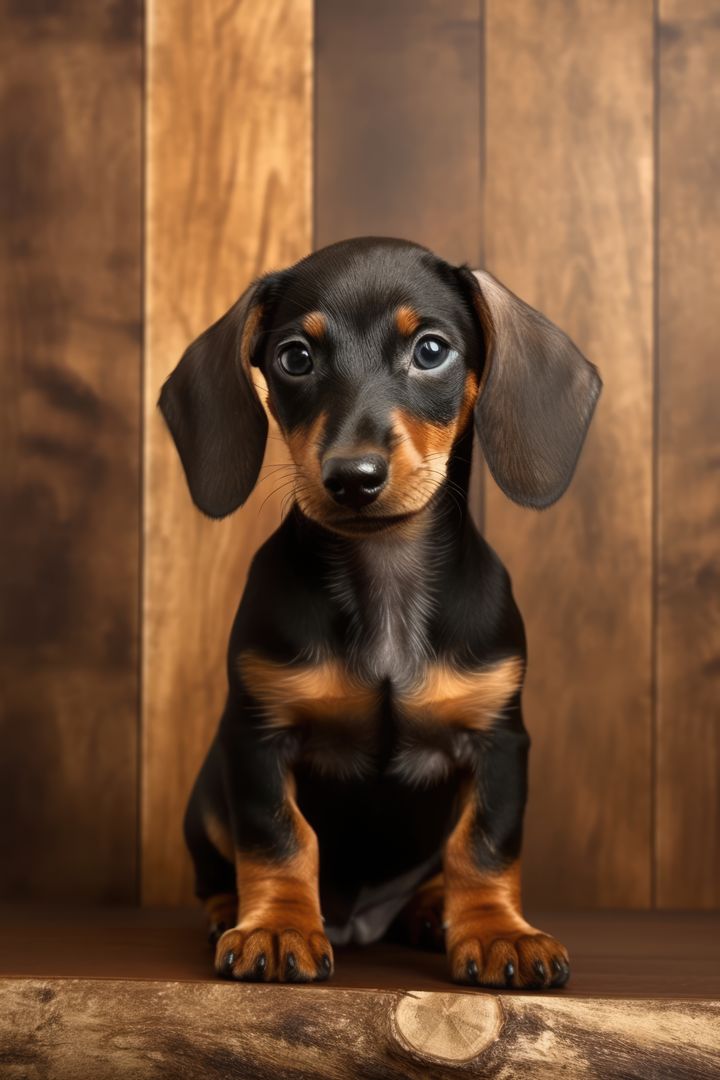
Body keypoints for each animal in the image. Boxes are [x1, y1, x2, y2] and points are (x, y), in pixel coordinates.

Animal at [158, 236, 604, 989]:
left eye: (431, 350)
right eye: (294, 358)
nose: (353, 478)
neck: (385, 577)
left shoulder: (500, 740)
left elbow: (483, 844)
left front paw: (497, 933)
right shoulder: (256, 737)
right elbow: (279, 837)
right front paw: (278, 926)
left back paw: (429, 911)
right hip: (207, 798)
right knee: (216, 866)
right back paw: (228, 909)